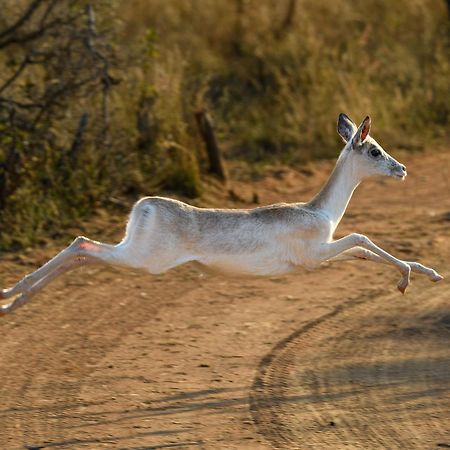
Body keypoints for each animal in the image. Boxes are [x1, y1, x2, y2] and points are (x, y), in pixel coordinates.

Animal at [0, 114, 442, 314]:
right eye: (375, 150)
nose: (402, 169)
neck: (319, 212)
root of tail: (144, 205)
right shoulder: (317, 252)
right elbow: (363, 238)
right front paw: (406, 279)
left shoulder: (324, 255)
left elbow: (364, 251)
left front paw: (429, 274)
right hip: (141, 259)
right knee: (80, 244)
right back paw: (10, 297)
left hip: (130, 252)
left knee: (80, 252)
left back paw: (10, 301)